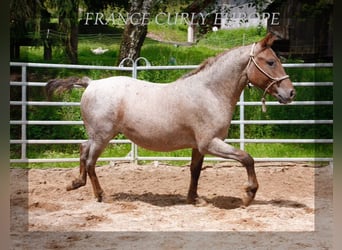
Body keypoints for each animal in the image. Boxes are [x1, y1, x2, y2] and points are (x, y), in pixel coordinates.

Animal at [46, 32, 296, 206]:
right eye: (271, 62)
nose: (291, 93)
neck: (210, 92)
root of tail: (91, 83)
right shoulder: (210, 143)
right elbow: (247, 158)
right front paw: (249, 194)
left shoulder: (198, 146)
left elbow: (195, 170)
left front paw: (193, 198)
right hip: (103, 137)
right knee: (90, 161)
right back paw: (100, 195)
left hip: (97, 136)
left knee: (82, 149)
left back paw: (75, 184)